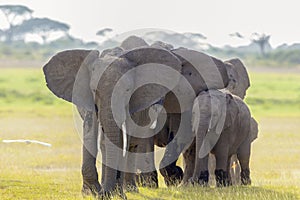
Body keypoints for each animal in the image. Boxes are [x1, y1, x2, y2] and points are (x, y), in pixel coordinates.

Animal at [42, 35, 184, 198]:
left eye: (128, 90)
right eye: (94, 89)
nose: (104, 194)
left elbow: (124, 138)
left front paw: (115, 193)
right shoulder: (88, 98)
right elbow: (90, 132)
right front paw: (91, 192)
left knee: (132, 142)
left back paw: (129, 188)